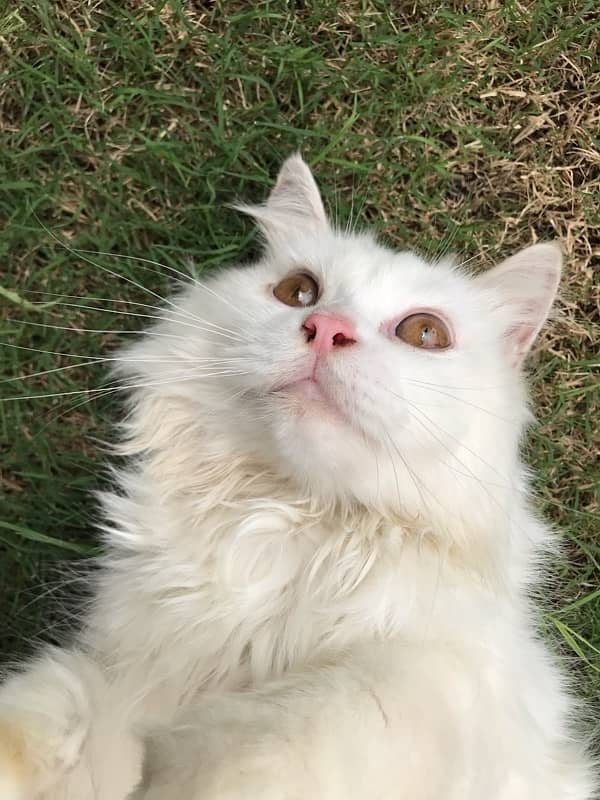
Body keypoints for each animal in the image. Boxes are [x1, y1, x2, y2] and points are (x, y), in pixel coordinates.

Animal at [0, 153, 596, 796]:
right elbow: (57, 709)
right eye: (299, 291)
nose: (328, 328)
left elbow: (294, 730)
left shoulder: (441, 683)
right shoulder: (113, 676)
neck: (283, 521)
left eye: (424, 333)